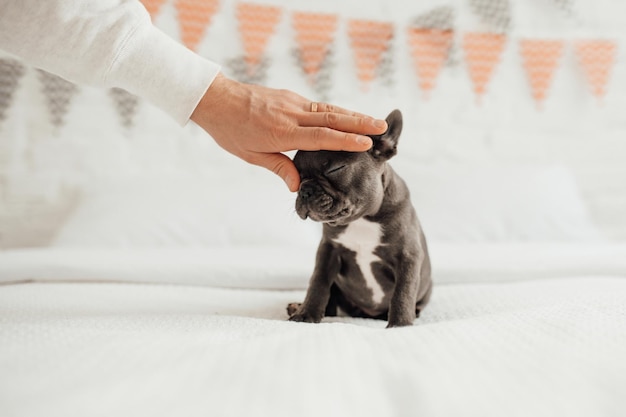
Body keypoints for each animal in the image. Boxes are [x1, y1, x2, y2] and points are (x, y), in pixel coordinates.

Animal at [286, 109, 428, 326]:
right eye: (297, 176)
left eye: (335, 169)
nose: (305, 190)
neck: (362, 219)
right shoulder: (328, 251)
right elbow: (318, 283)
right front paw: (306, 314)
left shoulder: (408, 255)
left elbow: (403, 292)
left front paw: (400, 325)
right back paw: (297, 306)